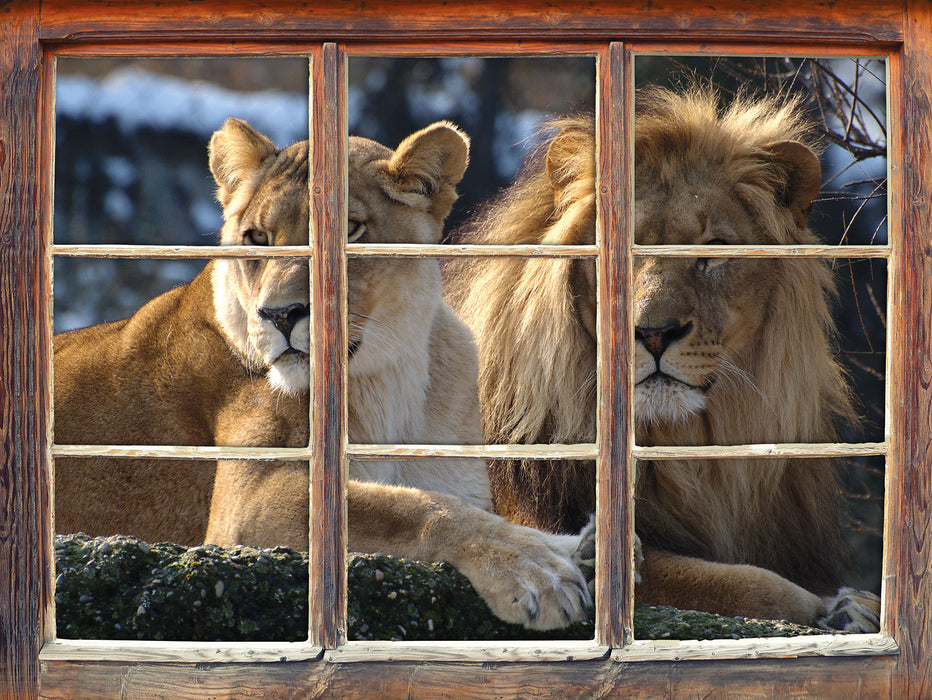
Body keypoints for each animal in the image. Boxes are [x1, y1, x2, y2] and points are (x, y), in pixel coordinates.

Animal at [52, 117, 588, 632]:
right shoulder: (247, 502)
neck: (387, 381)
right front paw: (537, 565)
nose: (280, 314)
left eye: (351, 229)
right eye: (257, 238)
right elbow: (408, 507)